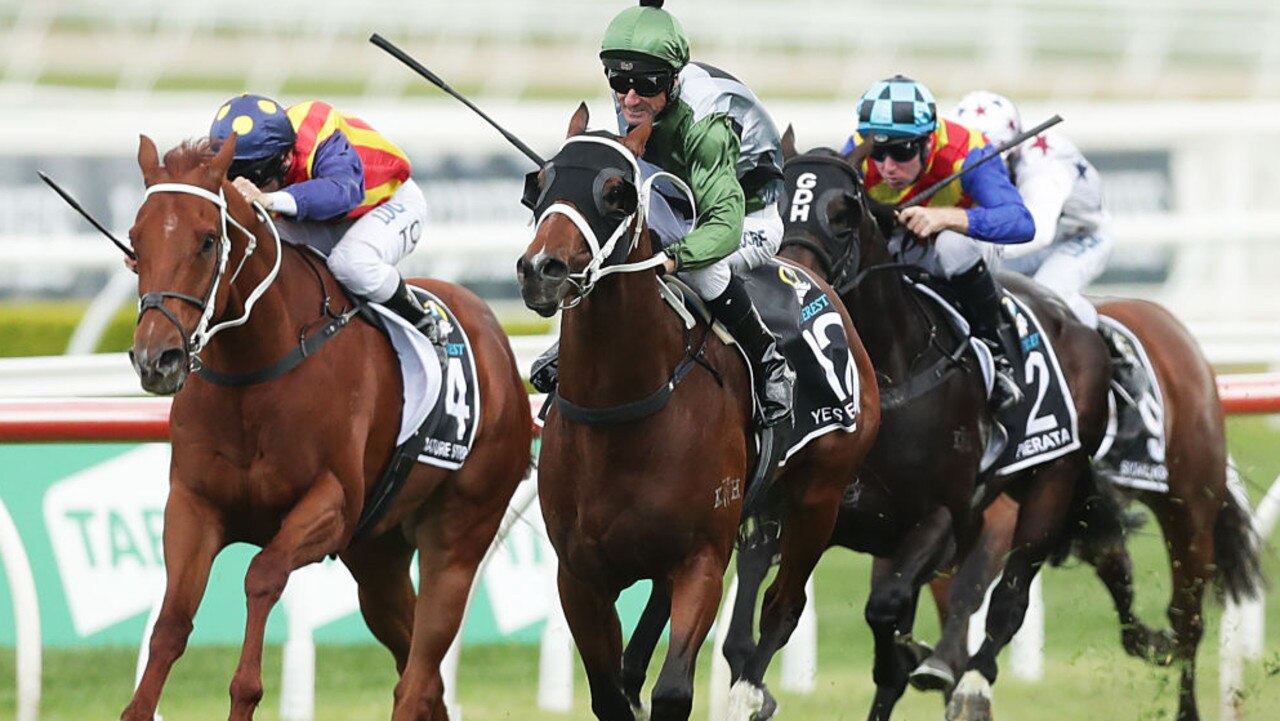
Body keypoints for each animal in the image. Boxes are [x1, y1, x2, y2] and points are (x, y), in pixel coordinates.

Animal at [123, 135, 529, 721]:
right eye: (135, 240)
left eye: (206, 240)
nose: (157, 359)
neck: (256, 369)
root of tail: (498, 342)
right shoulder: (193, 504)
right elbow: (172, 620)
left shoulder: (331, 505)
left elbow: (262, 575)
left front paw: (247, 692)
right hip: (378, 556)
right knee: (419, 670)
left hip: (458, 536)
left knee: (420, 674)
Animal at [514, 106, 875, 721]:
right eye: (538, 184)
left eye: (616, 193)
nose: (543, 268)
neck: (622, 412)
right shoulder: (580, 575)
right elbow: (610, 693)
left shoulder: (702, 557)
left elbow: (674, 690)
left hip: (818, 496)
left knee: (783, 605)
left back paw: (748, 694)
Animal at [921, 294, 1259, 721]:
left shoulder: (1015, 506)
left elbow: (973, 586)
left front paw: (961, 677)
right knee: (1115, 561)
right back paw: (1149, 639)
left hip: (1190, 507)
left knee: (1187, 617)